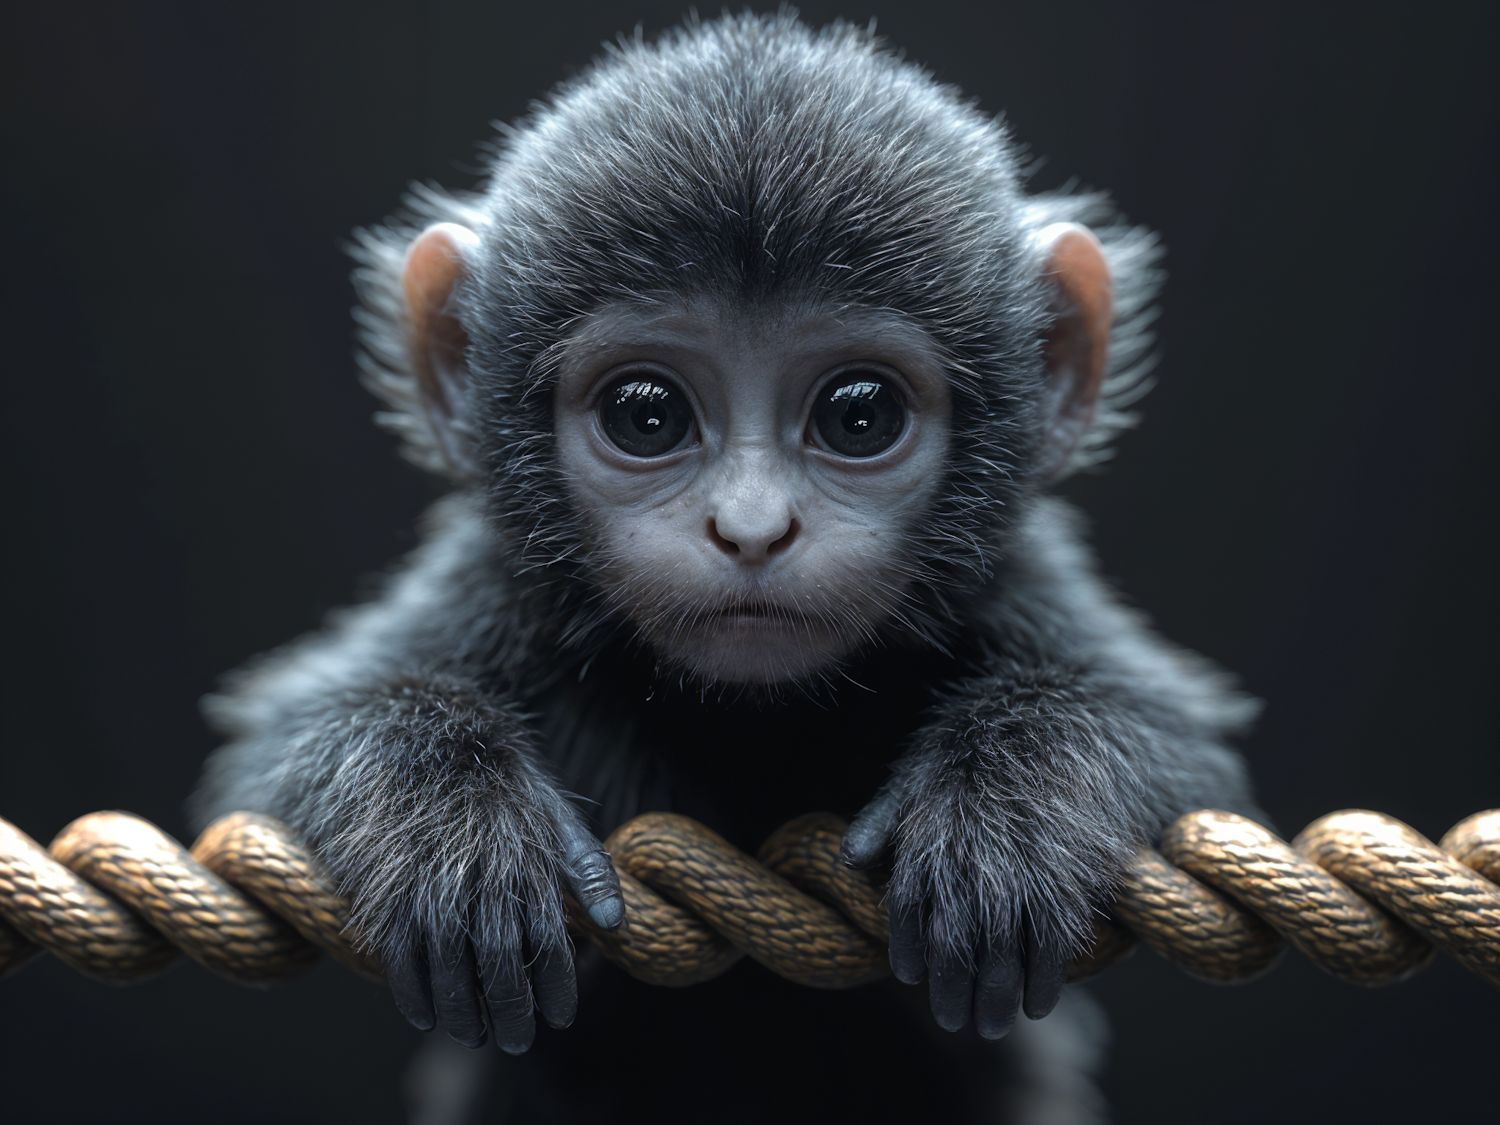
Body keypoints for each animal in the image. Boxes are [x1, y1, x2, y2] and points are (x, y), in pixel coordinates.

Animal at [191, 8, 1258, 1095]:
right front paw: (455, 837)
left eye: (860, 415)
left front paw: (1013, 814)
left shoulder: (1023, 591)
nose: (751, 527)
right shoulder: (487, 594)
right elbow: (283, 750)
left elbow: (1178, 745)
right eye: (647, 413)